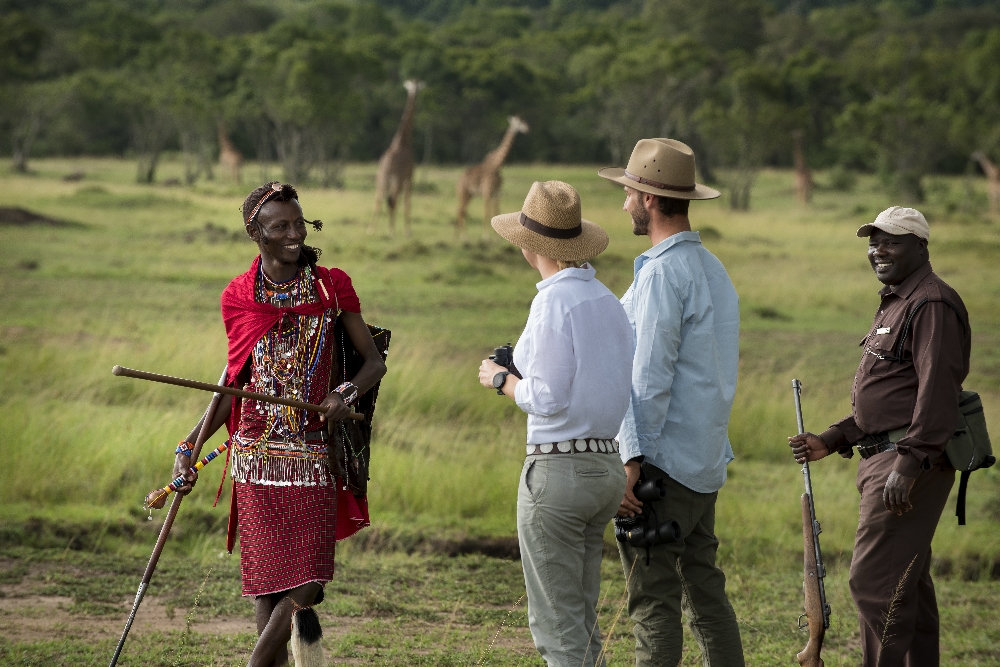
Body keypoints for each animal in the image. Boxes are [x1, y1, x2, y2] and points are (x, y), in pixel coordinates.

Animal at [372, 80, 426, 236]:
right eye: (415, 87)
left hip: (381, 180)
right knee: (394, 200)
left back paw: (371, 229)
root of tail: (388, 167)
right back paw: (391, 231)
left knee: (379, 199)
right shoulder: (410, 176)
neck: (403, 141)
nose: (415, 92)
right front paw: (408, 230)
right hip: (397, 180)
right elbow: (408, 201)